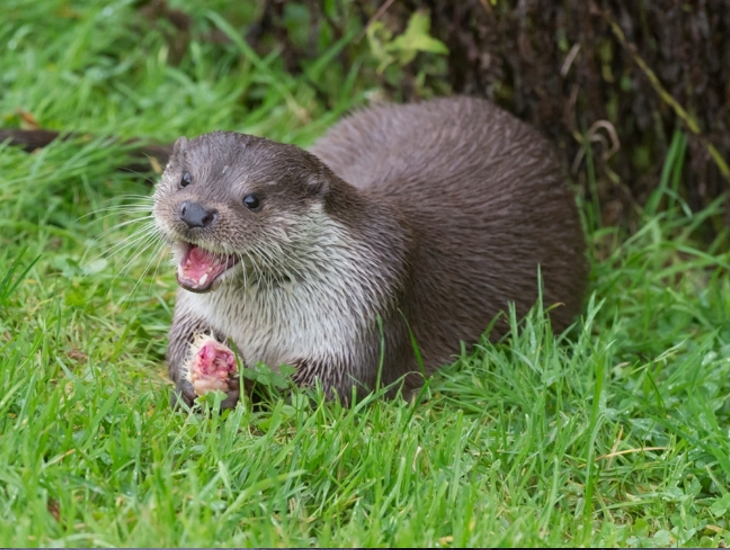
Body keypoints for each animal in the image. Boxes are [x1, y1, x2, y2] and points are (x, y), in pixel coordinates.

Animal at [152, 95, 584, 408]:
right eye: (186, 179)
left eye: (252, 200)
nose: (195, 211)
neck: (263, 326)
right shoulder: (195, 312)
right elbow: (177, 347)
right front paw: (197, 384)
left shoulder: (364, 312)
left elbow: (329, 389)